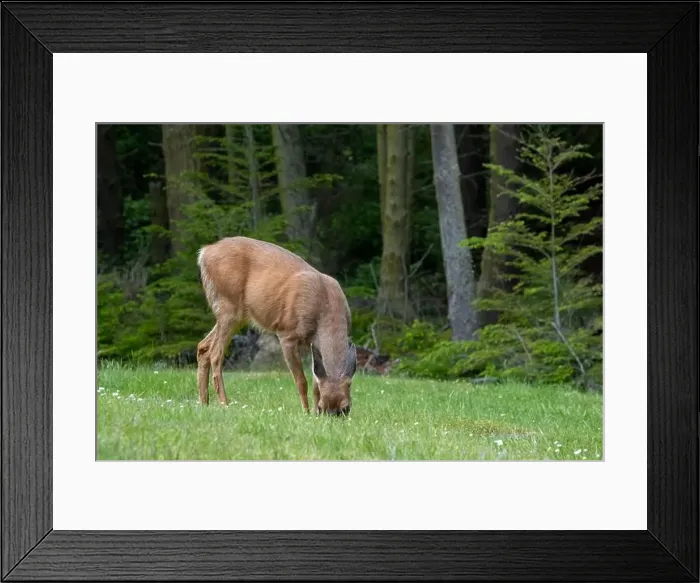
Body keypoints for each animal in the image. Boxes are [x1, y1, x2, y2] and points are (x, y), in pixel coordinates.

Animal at [196, 236, 357, 416]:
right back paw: (225, 403)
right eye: (323, 407)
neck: (325, 310)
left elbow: (316, 382)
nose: (325, 414)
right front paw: (306, 412)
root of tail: (204, 252)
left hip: (235, 314)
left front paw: (314, 413)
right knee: (215, 353)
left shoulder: (313, 343)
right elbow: (301, 381)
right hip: (228, 306)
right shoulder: (287, 333)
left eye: (346, 408)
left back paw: (204, 403)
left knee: (203, 347)